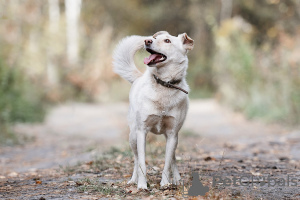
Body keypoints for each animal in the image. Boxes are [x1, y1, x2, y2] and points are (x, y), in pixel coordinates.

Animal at [112, 30, 195, 189]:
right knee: (136, 158)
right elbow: (142, 163)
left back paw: (177, 179)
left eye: (167, 41)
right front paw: (142, 185)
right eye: (155, 38)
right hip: (133, 136)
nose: (147, 40)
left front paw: (165, 183)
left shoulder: (172, 133)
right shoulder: (141, 132)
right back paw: (133, 180)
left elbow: (167, 163)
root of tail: (139, 77)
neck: (164, 84)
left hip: (174, 138)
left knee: (173, 157)